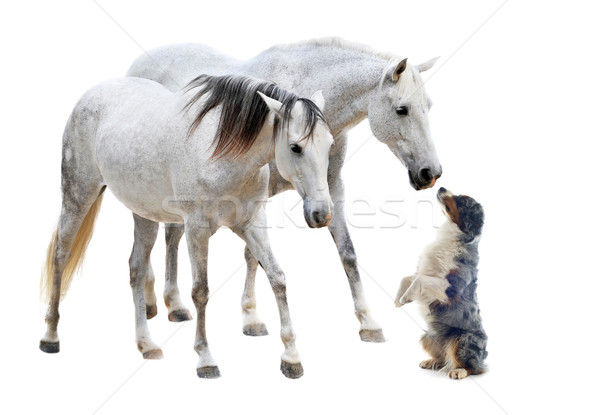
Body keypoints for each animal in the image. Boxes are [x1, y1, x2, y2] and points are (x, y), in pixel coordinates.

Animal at [39, 75, 336, 380]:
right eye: (296, 147)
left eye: (329, 144)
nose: (321, 214)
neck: (223, 154)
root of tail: (91, 94)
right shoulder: (197, 229)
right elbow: (200, 291)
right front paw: (205, 359)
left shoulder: (251, 223)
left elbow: (277, 277)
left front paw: (291, 358)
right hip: (77, 197)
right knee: (61, 256)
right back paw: (50, 336)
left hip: (143, 214)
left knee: (136, 268)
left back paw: (146, 344)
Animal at [127, 36, 446, 342]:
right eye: (402, 110)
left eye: (429, 107)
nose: (431, 173)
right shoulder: (255, 200)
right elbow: (252, 256)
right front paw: (251, 318)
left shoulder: (332, 188)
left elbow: (348, 253)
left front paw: (368, 323)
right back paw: (163, 303)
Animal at [394, 188, 488, 380]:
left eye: (462, 200)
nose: (441, 188)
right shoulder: (423, 271)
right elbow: (407, 278)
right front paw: (398, 299)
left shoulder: (450, 288)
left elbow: (419, 280)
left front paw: (407, 297)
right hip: (428, 336)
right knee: (444, 358)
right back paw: (432, 361)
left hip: (462, 339)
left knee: (472, 367)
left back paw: (459, 371)